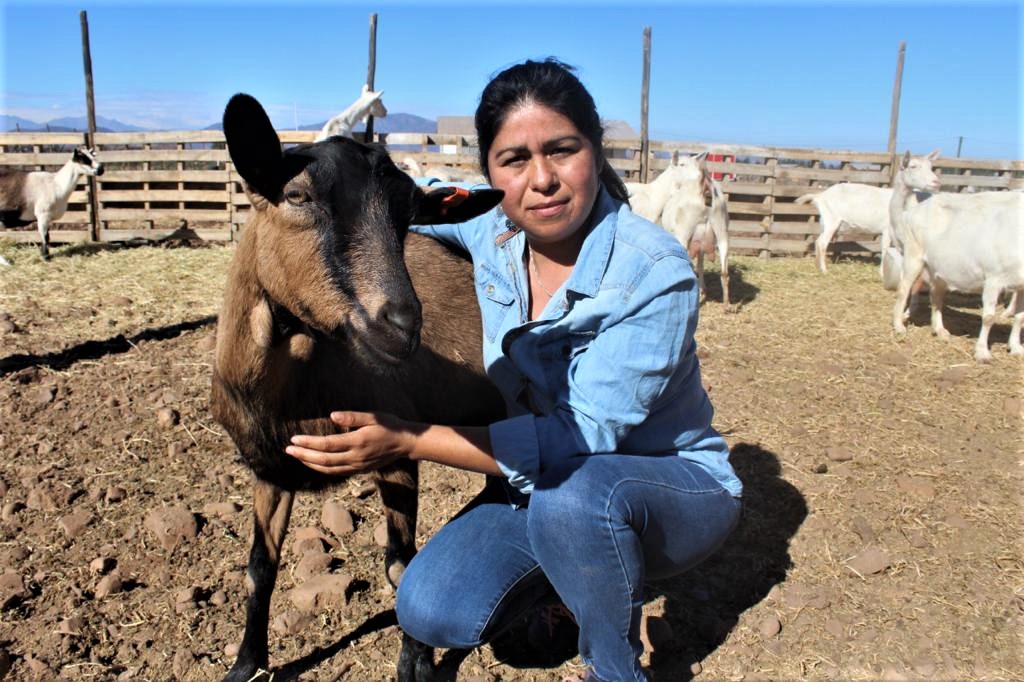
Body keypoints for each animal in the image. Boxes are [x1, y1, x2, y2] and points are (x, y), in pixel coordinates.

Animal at [214, 94, 505, 679]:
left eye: (407, 217)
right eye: (296, 195)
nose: (401, 325)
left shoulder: (398, 449)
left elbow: (401, 568)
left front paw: (416, 665)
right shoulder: (270, 469)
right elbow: (259, 567)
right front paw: (246, 663)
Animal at [655, 152, 729, 307]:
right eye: (682, 164)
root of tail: (705, 187)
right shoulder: (701, 243)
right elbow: (700, 265)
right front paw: (703, 291)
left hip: (684, 233)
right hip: (722, 229)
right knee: (724, 272)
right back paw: (727, 306)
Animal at [888, 150, 1024, 360]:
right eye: (913, 166)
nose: (935, 181)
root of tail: (912, 212)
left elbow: (1020, 318)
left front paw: (1016, 348)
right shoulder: (994, 277)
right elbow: (988, 317)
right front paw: (982, 352)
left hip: (938, 267)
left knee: (936, 295)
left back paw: (940, 330)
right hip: (913, 254)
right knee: (904, 288)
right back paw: (899, 326)